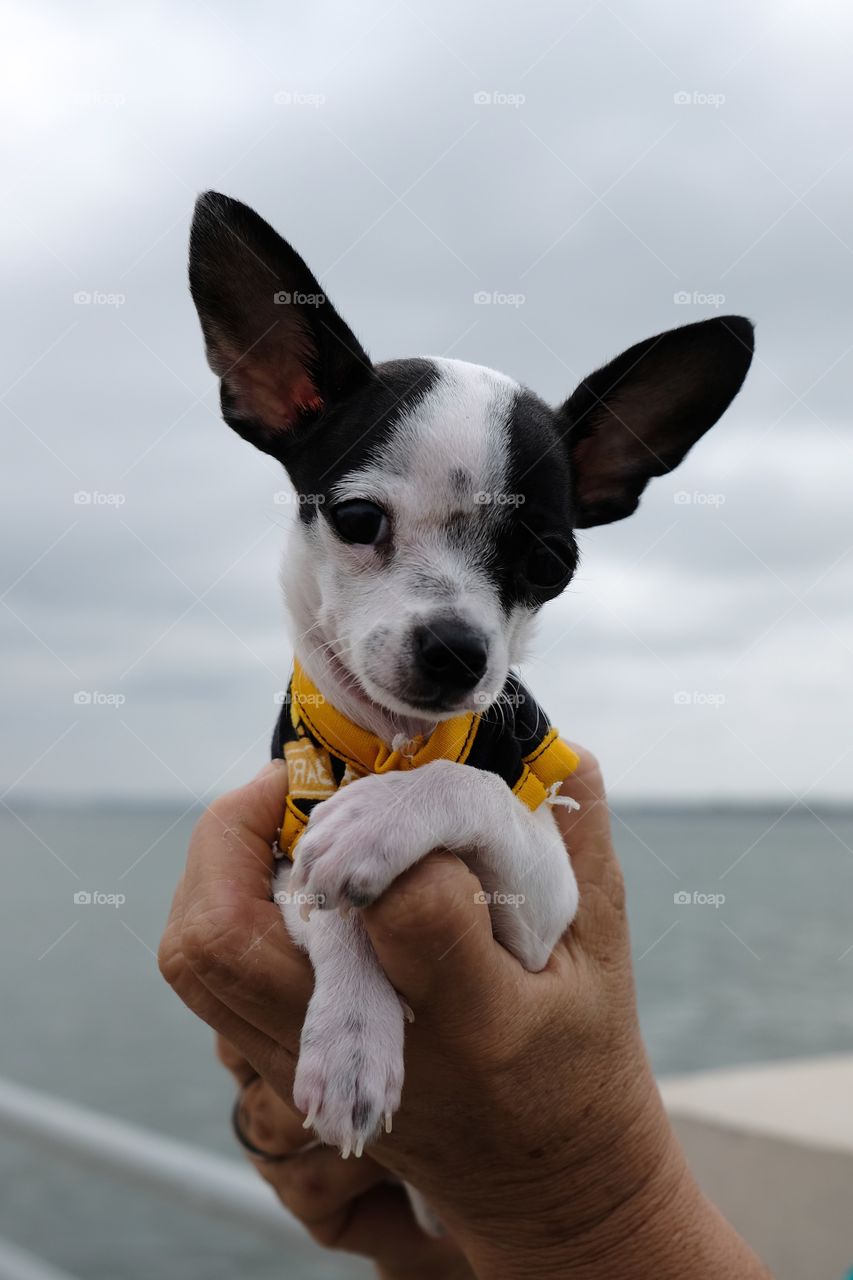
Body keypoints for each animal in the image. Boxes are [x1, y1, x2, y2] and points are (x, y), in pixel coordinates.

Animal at [188, 192, 753, 1172]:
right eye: (357, 519)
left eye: (552, 565)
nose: (458, 649)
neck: (396, 745)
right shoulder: (287, 853)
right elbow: (329, 900)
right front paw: (352, 1038)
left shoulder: (544, 912)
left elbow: (468, 788)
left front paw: (382, 819)